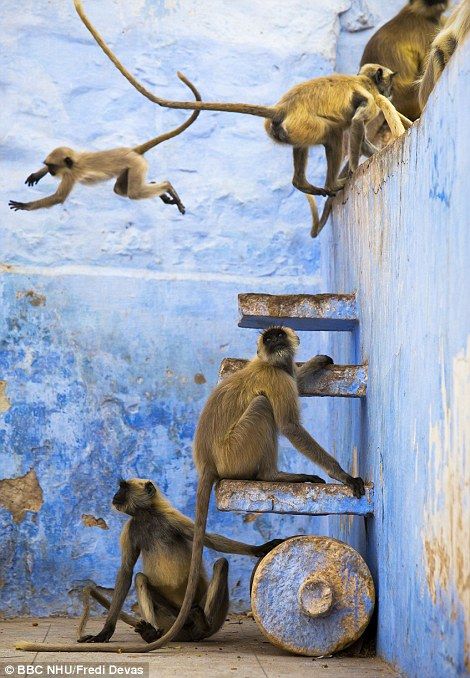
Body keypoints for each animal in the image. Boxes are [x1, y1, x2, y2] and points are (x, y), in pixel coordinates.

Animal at [8, 73, 201, 214]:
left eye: (52, 167)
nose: (49, 171)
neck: (75, 161)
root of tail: (131, 151)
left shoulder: (72, 174)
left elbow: (58, 198)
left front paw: (24, 205)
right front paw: (37, 174)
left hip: (137, 165)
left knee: (134, 193)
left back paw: (167, 186)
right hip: (129, 169)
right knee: (121, 190)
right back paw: (161, 191)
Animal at [18, 478, 283, 651]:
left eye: (123, 487)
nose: (114, 495)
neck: (146, 516)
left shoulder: (172, 518)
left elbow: (209, 540)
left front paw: (259, 549)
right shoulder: (130, 529)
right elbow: (126, 571)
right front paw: (105, 632)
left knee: (221, 564)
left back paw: (203, 625)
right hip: (170, 615)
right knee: (140, 579)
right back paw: (152, 634)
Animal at [73, 0, 407, 233]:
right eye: (388, 83)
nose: (391, 91)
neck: (362, 81)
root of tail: (283, 108)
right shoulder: (369, 99)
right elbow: (356, 123)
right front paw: (353, 169)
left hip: (289, 129)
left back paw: (304, 184)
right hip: (307, 126)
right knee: (335, 133)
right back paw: (331, 186)